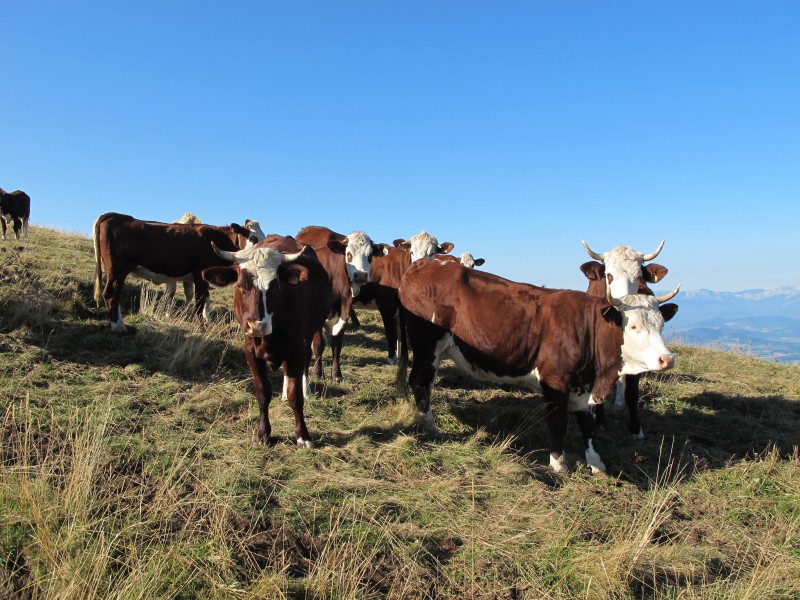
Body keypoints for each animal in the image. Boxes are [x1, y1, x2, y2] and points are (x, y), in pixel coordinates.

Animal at [93, 211, 262, 332]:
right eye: (253, 238)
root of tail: (115, 215)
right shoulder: (199, 275)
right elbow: (199, 301)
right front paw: (201, 327)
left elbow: (204, 300)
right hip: (118, 270)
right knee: (110, 294)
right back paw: (117, 326)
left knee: (113, 294)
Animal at [205, 237, 336, 448]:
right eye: (240, 285)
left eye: (275, 287)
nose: (257, 325)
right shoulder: (250, 351)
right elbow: (263, 392)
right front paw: (263, 433)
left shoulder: (296, 349)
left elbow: (295, 396)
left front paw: (303, 435)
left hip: (307, 338)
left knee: (306, 363)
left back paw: (306, 388)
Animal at [296, 223, 390, 382]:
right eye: (348, 254)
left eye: (370, 256)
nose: (360, 275)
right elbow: (319, 344)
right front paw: (317, 372)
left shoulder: (344, 312)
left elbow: (336, 346)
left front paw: (336, 374)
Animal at [396, 260, 680, 476]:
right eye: (633, 326)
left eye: (661, 324)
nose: (667, 359)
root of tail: (421, 265)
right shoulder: (556, 380)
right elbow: (558, 421)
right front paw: (559, 463)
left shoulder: (584, 386)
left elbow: (587, 425)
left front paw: (596, 463)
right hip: (426, 345)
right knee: (419, 382)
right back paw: (429, 425)